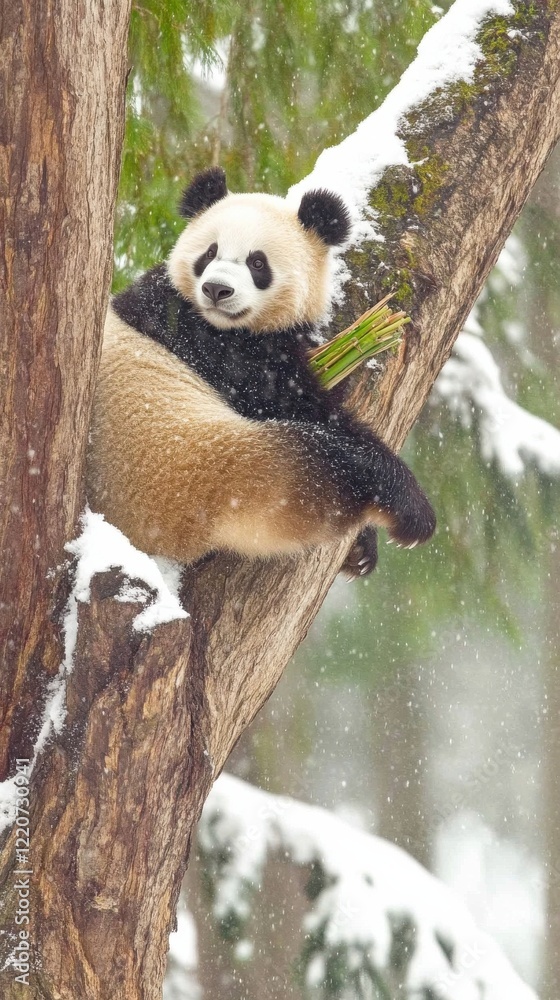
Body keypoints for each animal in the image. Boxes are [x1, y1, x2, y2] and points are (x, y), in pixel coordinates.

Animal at [87, 167, 435, 578]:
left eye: (257, 263)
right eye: (210, 253)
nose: (216, 289)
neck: (227, 324)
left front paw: (364, 550)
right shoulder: (209, 342)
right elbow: (302, 405)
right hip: (217, 470)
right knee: (330, 461)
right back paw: (403, 511)